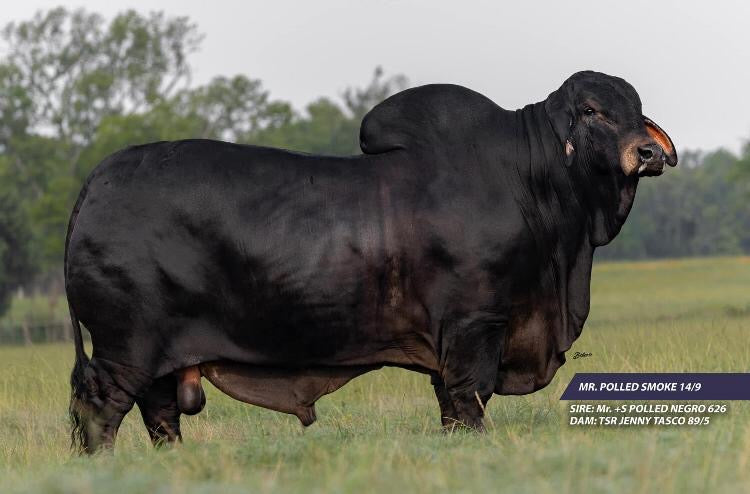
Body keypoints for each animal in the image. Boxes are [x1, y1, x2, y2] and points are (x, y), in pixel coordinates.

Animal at [64, 69, 676, 452]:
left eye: (638, 111)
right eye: (592, 111)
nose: (647, 152)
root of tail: (99, 178)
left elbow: (450, 408)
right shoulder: (475, 327)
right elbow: (469, 400)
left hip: (159, 361)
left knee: (160, 415)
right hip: (125, 348)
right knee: (101, 410)